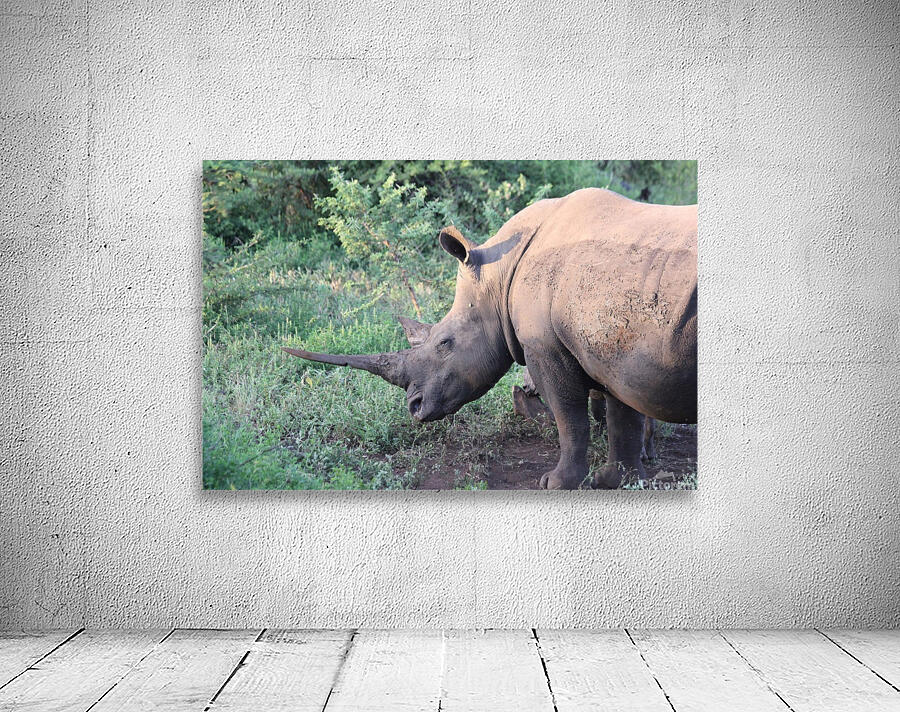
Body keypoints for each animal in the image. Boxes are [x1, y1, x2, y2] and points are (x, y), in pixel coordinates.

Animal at [284, 188, 697, 489]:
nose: (414, 407)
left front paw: (556, 483)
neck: (500, 276)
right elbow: (621, 415)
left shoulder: (549, 347)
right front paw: (615, 481)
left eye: (445, 343)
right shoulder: (614, 347)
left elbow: (570, 417)